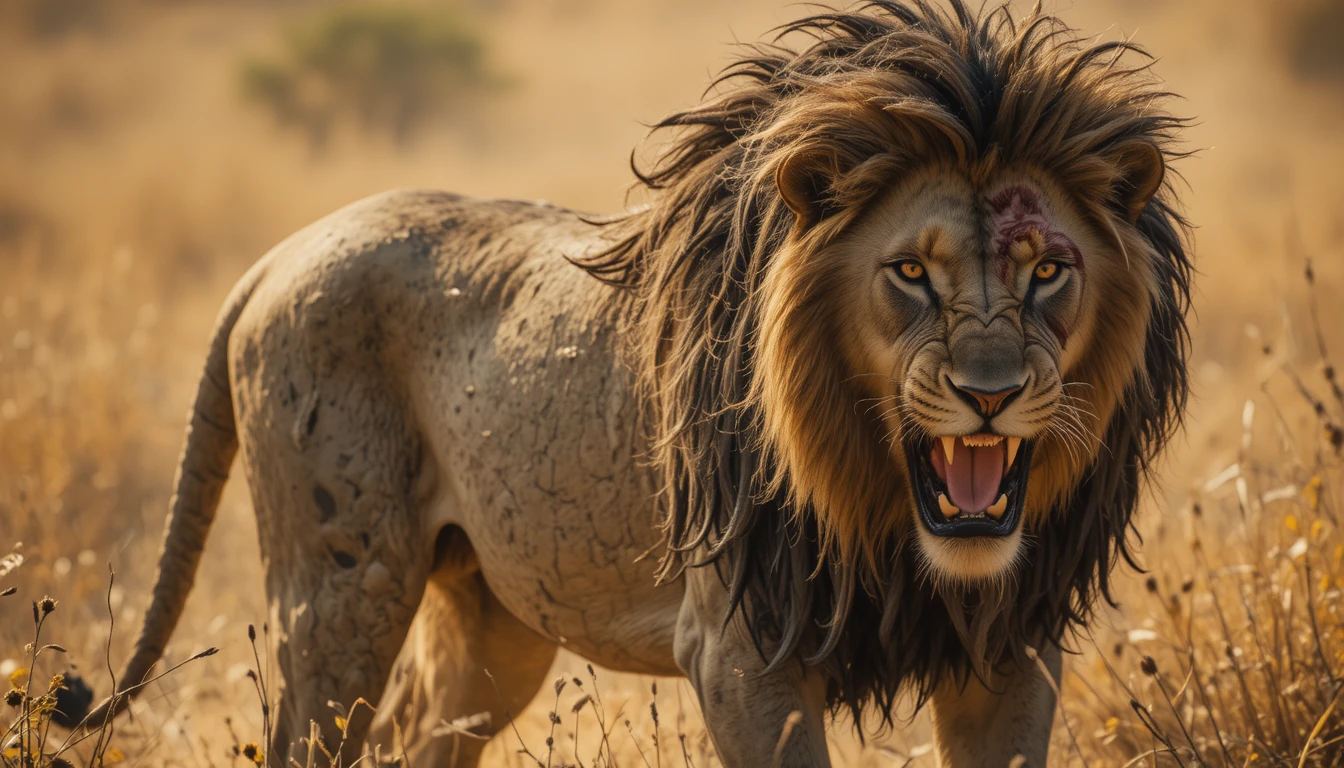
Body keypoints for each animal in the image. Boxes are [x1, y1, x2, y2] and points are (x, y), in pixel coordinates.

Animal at [77, 2, 1191, 765]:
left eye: (1049, 271)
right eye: (911, 273)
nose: (990, 393)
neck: (871, 498)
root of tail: (281, 253)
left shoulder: (1014, 651)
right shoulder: (741, 652)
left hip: (489, 626)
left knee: (414, 735)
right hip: (341, 592)